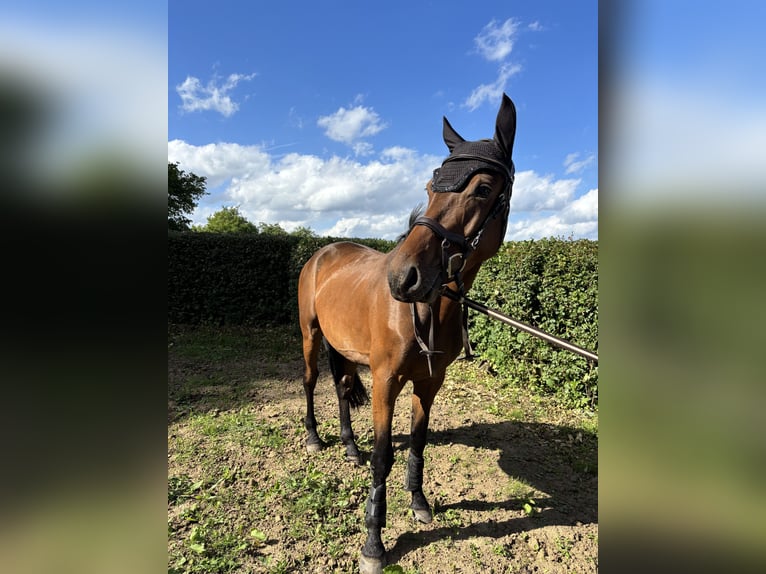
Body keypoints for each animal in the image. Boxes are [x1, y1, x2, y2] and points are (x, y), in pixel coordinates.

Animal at [298, 93, 516, 573]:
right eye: (431, 188)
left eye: (483, 189)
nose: (403, 278)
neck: (428, 309)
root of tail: (324, 252)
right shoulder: (386, 382)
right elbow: (383, 457)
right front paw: (374, 543)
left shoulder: (429, 382)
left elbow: (417, 440)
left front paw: (418, 501)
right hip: (310, 335)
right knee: (310, 382)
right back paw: (315, 438)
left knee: (342, 387)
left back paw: (349, 447)